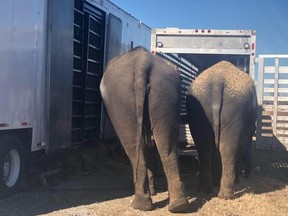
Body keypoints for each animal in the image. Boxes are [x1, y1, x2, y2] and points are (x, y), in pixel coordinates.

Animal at [100, 46, 189, 211]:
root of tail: (143, 63)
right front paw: (153, 191)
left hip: (120, 101)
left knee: (133, 148)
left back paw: (140, 204)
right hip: (166, 93)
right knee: (167, 147)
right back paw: (178, 205)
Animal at [186, 60, 258, 199]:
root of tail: (217, 82)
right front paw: (237, 182)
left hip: (198, 110)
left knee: (205, 149)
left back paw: (205, 190)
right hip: (236, 111)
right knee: (228, 150)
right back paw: (227, 195)